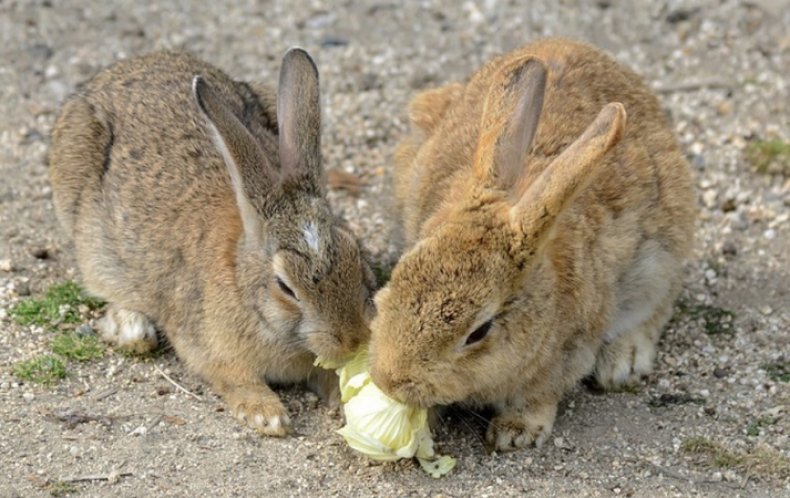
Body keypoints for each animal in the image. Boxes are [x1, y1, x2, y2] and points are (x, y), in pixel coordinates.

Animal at [48, 48, 378, 434]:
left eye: (356, 256)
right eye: (285, 287)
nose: (353, 339)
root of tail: (130, 64)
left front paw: (346, 401)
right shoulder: (207, 348)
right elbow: (234, 378)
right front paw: (267, 415)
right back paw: (131, 326)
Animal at [368, 39, 696, 452]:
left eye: (478, 332)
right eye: (399, 273)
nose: (388, 380)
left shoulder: (568, 353)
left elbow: (540, 396)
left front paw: (515, 432)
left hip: (661, 257)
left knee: (659, 306)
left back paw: (624, 361)